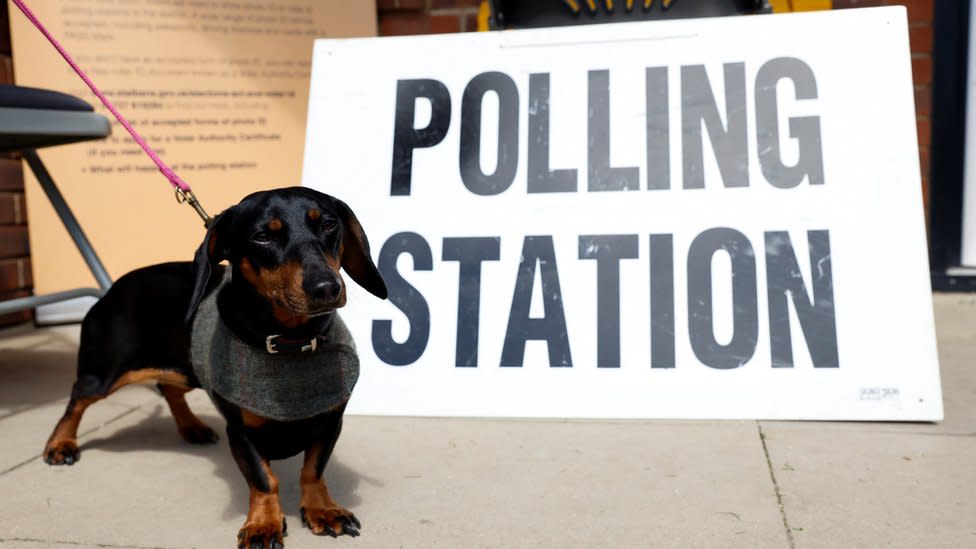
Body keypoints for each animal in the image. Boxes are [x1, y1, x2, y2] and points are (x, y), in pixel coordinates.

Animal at [40, 186, 388, 544]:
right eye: (262, 236)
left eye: (329, 224)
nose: (326, 288)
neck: (291, 343)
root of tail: (112, 289)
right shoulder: (241, 432)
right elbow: (265, 480)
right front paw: (263, 525)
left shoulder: (330, 421)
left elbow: (313, 470)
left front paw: (323, 509)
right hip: (104, 374)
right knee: (77, 400)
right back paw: (60, 444)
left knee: (167, 388)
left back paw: (191, 427)